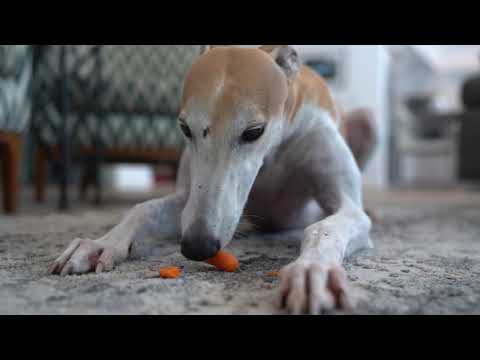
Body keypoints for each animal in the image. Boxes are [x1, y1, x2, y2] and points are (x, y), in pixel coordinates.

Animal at [48, 45, 378, 316]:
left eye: (254, 131)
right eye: (184, 128)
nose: (196, 246)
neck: (273, 151)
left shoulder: (348, 206)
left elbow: (324, 227)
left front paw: (311, 270)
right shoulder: (187, 200)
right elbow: (143, 208)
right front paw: (100, 244)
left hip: (368, 123)